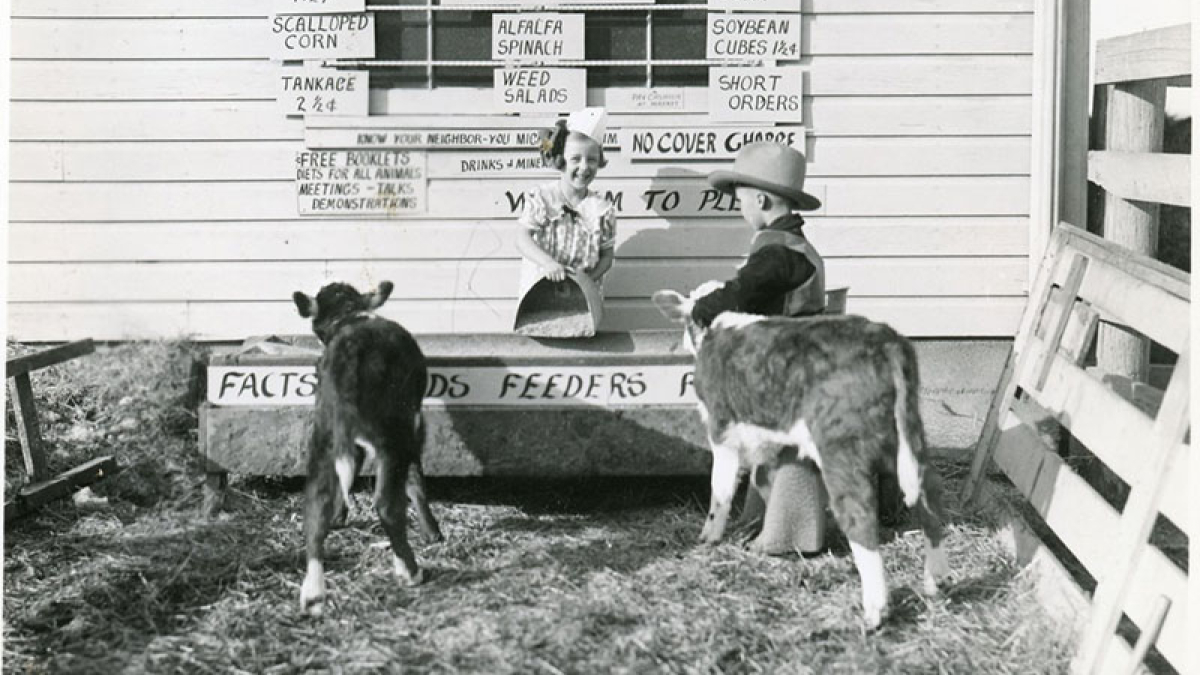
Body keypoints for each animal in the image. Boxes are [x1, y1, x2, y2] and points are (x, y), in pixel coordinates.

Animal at [292, 278, 444, 614]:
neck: (348, 316)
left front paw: (340, 515)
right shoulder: (414, 423)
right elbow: (416, 480)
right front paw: (432, 531)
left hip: (323, 439)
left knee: (315, 506)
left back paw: (313, 593)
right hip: (393, 437)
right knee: (387, 504)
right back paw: (411, 570)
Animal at [652, 284, 950, 629]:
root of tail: (884, 339)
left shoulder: (721, 429)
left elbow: (721, 488)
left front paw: (709, 536)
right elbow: (762, 478)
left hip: (841, 448)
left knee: (860, 514)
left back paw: (874, 611)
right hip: (903, 438)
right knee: (929, 495)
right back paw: (935, 582)